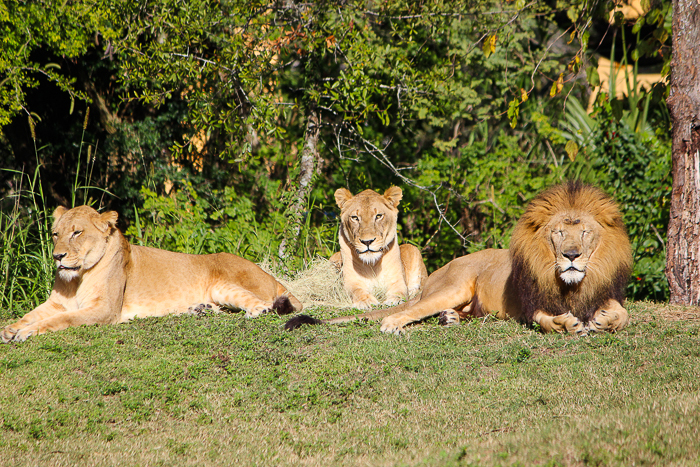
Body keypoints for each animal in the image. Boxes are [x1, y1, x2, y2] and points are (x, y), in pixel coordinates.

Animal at [2, 206, 304, 344]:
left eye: (77, 232)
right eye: (55, 234)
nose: (57, 256)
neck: (76, 279)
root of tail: (273, 278)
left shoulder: (104, 310)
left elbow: (60, 320)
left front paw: (24, 333)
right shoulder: (55, 303)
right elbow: (31, 314)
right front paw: (10, 328)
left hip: (225, 285)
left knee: (264, 304)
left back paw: (253, 311)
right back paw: (200, 309)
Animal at [288, 182, 636, 336]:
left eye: (585, 232)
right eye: (559, 233)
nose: (571, 256)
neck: (573, 285)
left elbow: (623, 314)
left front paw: (605, 320)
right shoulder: (532, 306)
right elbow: (547, 320)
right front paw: (567, 323)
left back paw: (450, 318)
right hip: (453, 287)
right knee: (407, 311)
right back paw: (393, 324)